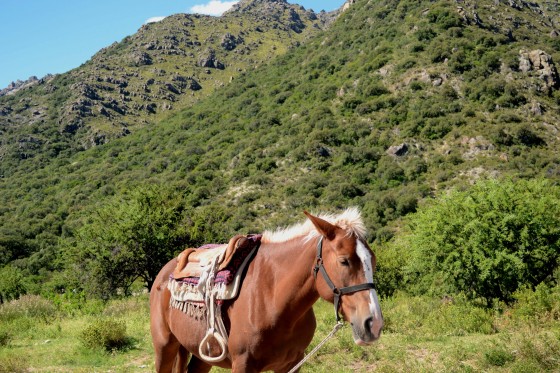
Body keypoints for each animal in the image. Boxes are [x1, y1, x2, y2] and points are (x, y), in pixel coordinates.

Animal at [150, 208, 384, 370]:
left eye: (373, 260)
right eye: (344, 261)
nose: (374, 323)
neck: (272, 297)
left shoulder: (290, 365)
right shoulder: (243, 365)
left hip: (203, 355)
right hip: (164, 348)